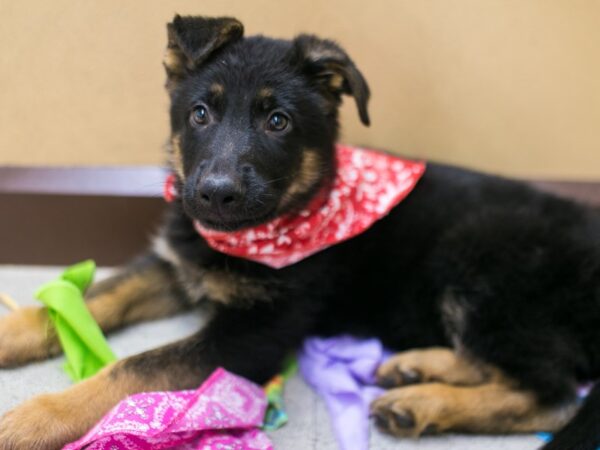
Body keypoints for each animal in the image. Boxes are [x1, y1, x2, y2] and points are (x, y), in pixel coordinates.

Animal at [1, 14, 600, 450]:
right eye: (200, 113)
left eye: (278, 122)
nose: (215, 194)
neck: (259, 233)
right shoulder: (179, 263)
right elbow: (92, 298)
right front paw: (13, 331)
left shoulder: (253, 332)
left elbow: (133, 368)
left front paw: (35, 417)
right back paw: (413, 370)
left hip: (480, 263)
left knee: (552, 393)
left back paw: (422, 403)